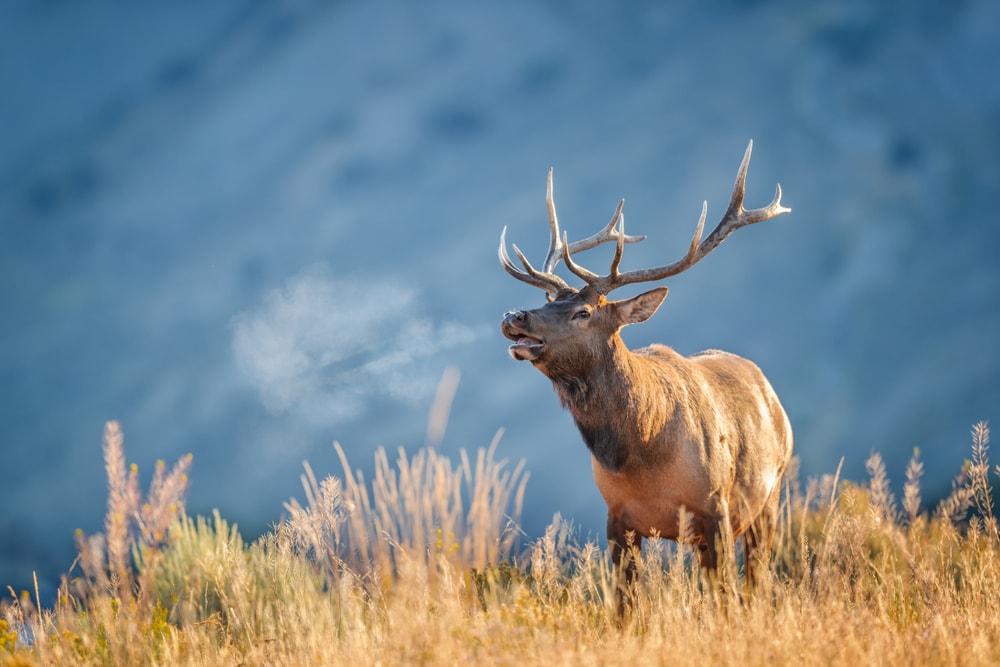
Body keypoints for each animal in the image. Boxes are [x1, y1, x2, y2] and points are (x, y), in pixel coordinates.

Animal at [499, 141, 794, 597]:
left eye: (583, 312)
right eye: (552, 302)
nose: (515, 315)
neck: (643, 456)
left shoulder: (717, 509)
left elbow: (727, 598)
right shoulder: (617, 518)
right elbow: (625, 605)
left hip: (770, 494)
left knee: (755, 582)